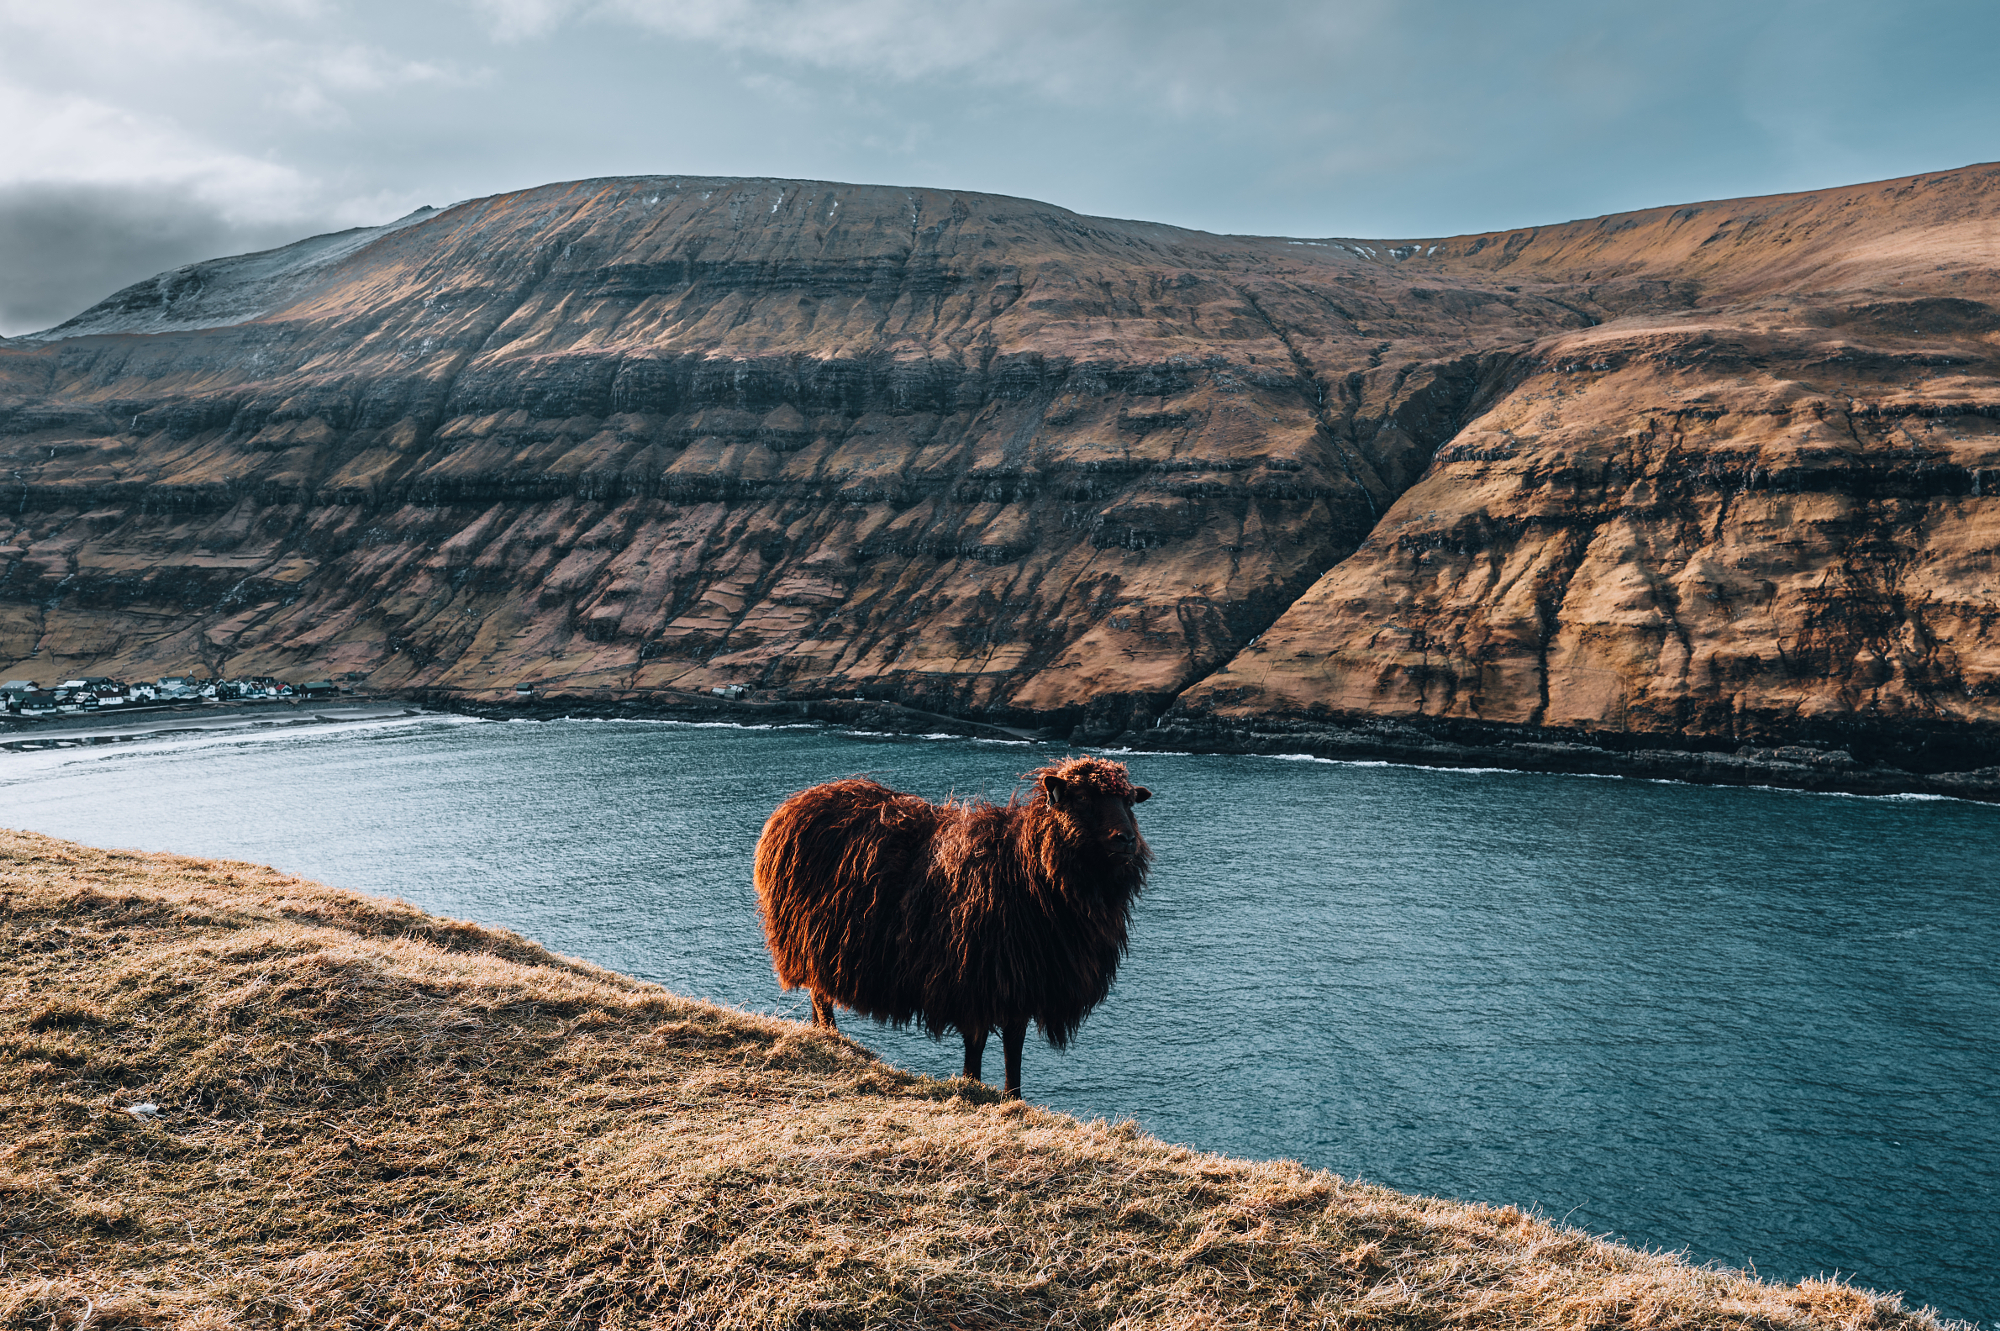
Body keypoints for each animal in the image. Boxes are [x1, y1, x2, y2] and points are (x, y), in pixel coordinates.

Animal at [754, 755, 1152, 1097]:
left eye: (1129, 802)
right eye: (1082, 798)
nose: (1127, 839)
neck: (1026, 868)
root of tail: (797, 802)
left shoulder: (1019, 981)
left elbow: (1014, 1047)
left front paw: (1014, 1098)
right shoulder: (974, 976)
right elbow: (976, 1046)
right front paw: (972, 1087)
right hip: (810, 939)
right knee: (821, 996)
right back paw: (831, 1037)